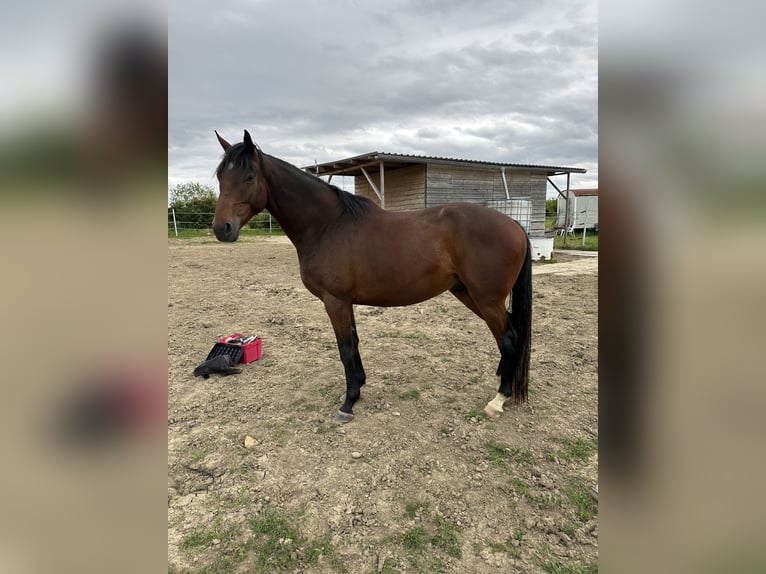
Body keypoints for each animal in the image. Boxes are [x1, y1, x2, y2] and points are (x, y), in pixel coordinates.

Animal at [213, 132, 532, 428]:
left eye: (249, 177)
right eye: (220, 177)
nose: (222, 229)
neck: (328, 226)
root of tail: (514, 224)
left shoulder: (335, 301)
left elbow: (345, 349)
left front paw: (348, 403)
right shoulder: (345, 302)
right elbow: (354, 343)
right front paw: (359, 386)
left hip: (486, 298)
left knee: (508, 338)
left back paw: (498, 399)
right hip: (468, 293)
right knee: (510, 332)